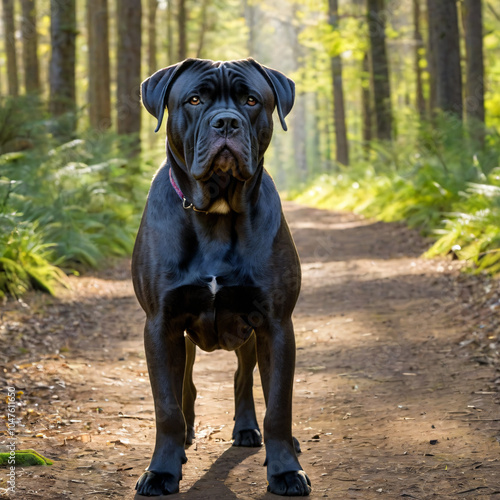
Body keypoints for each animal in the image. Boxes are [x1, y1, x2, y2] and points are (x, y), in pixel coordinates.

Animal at [132, 57, 312, 496]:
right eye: (195, 100)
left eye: (251, 101)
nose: (226, 122)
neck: (216, 213)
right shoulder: (160, 324)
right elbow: (167, 407)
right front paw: (161, 470)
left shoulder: (275, 323)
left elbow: (278, 406)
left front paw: (286, 470)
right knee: (187, 387)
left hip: (248, 334)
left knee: (243, 379)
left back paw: (251, 430)